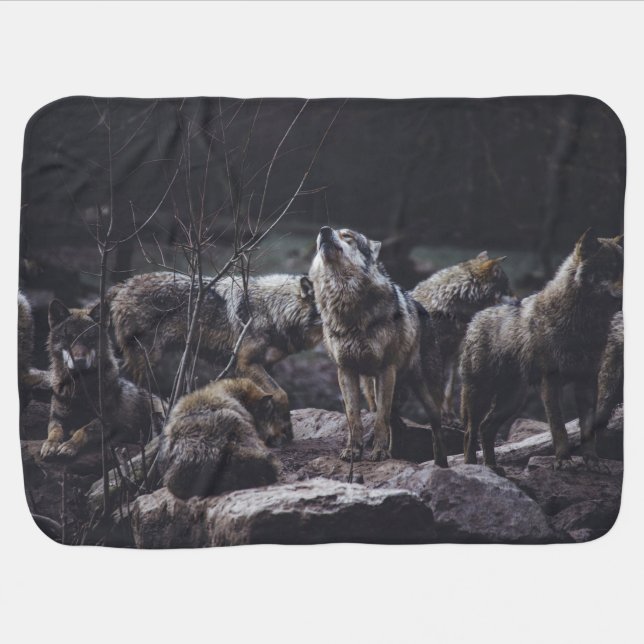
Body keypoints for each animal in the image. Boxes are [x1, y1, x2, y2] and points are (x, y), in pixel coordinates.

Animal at [40, 299, 163, 459]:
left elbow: (83, 430)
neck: (80, 388)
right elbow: (55, 431)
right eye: (70, 338)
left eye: (89, 339)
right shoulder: (57, 417)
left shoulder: (106, 421)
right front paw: (50, 445)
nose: (79, 361)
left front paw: (69, 446)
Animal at [108, 272, 322, 426]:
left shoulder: (261, 366)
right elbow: (281, 393)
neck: (274, 309)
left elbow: (265, 396)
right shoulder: (246, 363)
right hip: (148, 359)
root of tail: (123, 285)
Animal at [309, 226, 447, 465]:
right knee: (396, 423)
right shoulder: (345, 370)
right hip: (373, 390)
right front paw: (353, 451)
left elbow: (380, 419)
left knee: (435, 428)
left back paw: (440, 464)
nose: (324, 230)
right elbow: (354, 417)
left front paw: (380, 453)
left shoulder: (386, 370)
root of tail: (422, 307)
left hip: (425, 394)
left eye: (347, 236)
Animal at [460, 230, 623, 473]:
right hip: (480, 395)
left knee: (486, 428)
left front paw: (592, 461)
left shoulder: (587, 382)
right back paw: (473, 467)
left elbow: (588, 430)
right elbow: (558, 428)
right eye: (610, 269)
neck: (582, 324)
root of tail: (476, 317)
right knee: (471, 431)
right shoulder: (550, 382)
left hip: (512, 401)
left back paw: (492, 467)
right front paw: (563, 460)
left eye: (625, 269)